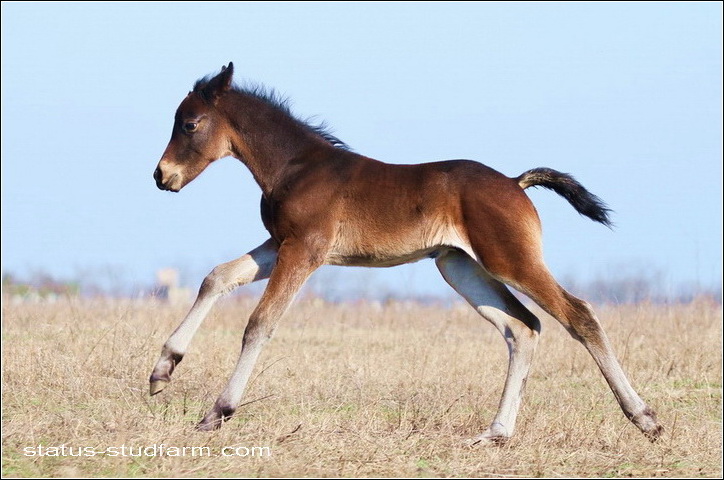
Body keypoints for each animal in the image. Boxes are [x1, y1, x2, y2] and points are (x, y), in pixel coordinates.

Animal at [150, 62, 660, 442]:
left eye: (189, 124)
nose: (161, 176)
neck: (295, 166)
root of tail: (515, 184)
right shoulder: (281, 244)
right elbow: (216, 277)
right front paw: (163, 369)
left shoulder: (305, 250)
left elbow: (260, 323)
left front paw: (218, 411)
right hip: (459, 267)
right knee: (523, 327)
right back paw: (496, 432)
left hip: (509, 259)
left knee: (578, 315)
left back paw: (644, 418)